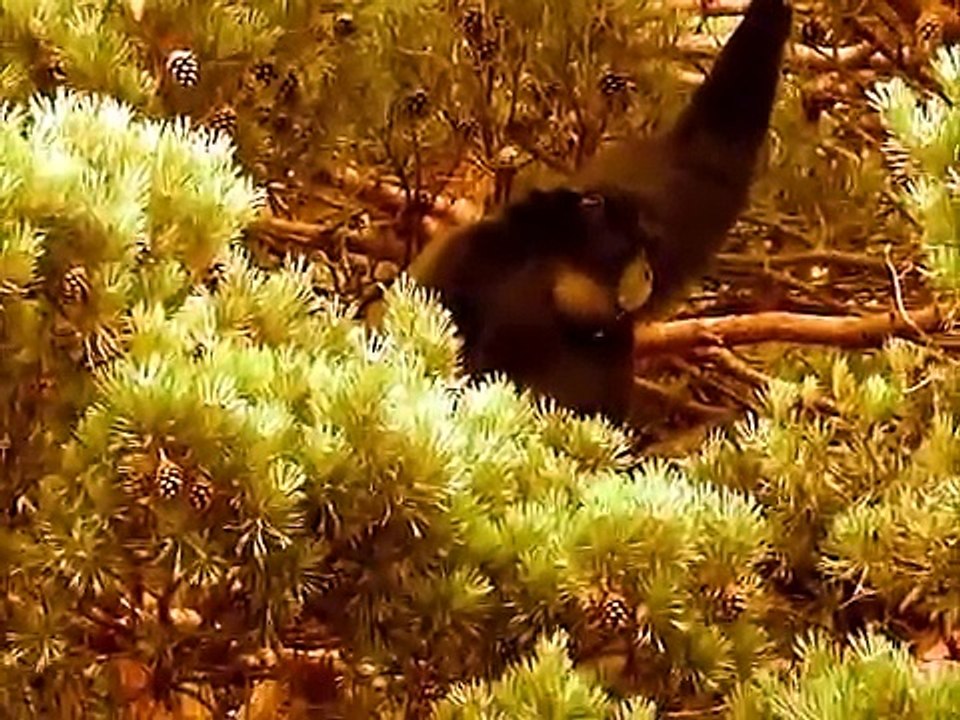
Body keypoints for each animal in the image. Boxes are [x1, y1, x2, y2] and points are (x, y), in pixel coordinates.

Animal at [377, 0, 793, 423]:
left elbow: (708, 153)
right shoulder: (464, 258)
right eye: (634, 247)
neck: (560, 264)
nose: (648, 272)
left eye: (649, 247)